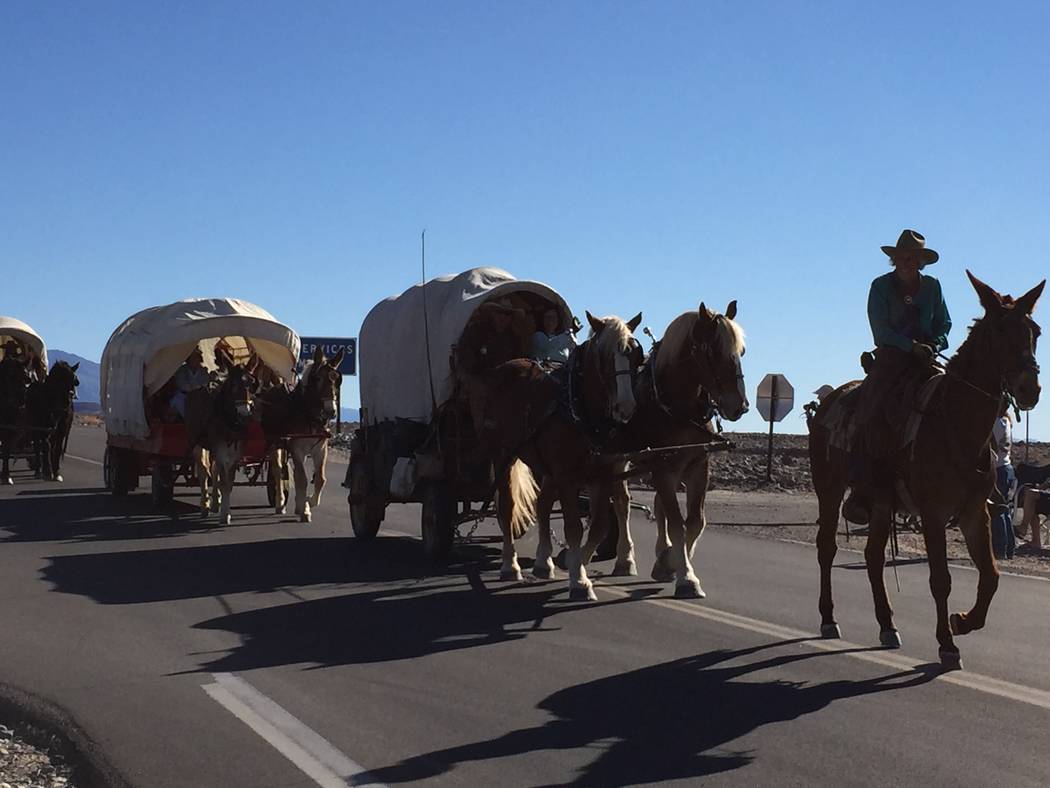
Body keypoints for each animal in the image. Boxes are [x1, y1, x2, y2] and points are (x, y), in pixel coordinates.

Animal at [810, 273, 1041, 672]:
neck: (956, 423)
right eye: (999, 329)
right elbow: (940, 580)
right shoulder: (933, 514)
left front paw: (962, 622)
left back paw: (887, 625)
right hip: (829, 489)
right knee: (827, 548)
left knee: (873, 556)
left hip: (881, 503)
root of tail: (826, 403)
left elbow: (991, 576)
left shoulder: (975, 512)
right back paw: (828, 618)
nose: (1030, 388)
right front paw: (947, 644)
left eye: (1036, 331)